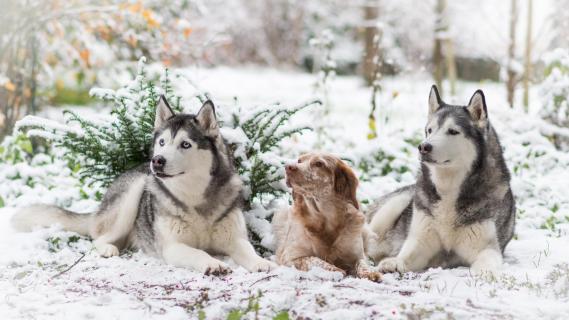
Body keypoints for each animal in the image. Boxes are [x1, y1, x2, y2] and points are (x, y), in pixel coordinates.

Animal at [13, 96, 278, 274]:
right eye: (162, 142)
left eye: (185, 144)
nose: (157, 160)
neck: (194, 198)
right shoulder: (173, 246)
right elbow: (198, 252)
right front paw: (212, 262)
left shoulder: (235, 239)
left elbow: (248, 250)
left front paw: (261, 262)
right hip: (135, 189)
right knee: (96, 239)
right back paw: (108, 248)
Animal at [272, 152, 380, 280]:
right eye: (299, 161)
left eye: (319, 163)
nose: (288, 167)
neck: (325, 220)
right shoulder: (290, 256)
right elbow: (315, 260)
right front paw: (335, 270)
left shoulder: (357, 255)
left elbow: (362, 263)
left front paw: (370, 272)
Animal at [366, 86, 516, 274]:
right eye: (430, 130)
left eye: (452, 131)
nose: (423, 147)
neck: (449, 187)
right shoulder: (421, 241)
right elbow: (406, 255)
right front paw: (395, 262)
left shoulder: (487, 247)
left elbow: (487, 261)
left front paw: (485, 272)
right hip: (397, 203)